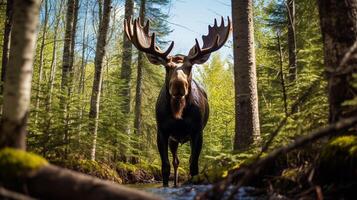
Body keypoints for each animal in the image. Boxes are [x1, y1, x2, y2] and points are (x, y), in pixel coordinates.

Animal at [125, 16, 231, 187]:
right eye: (167, 67)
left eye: (190, 67)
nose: (178, 86)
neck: (178, 113)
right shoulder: (162, 131)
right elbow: (165, 166)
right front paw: (166, 185)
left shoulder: (197, 131)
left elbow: (193, 165)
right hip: (174, 140)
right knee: (176, 162)